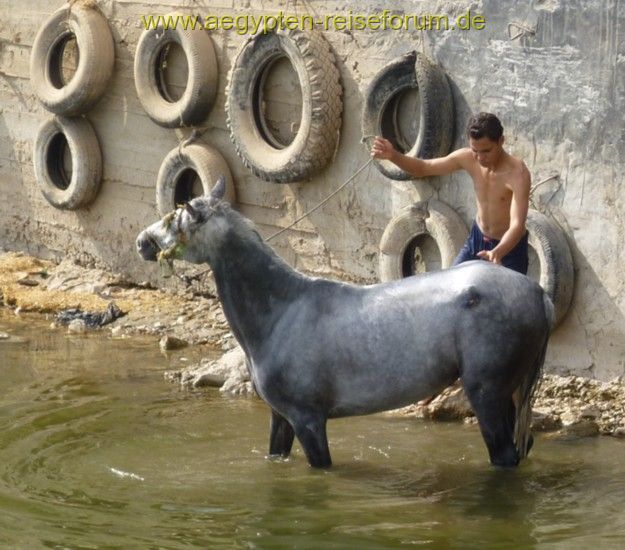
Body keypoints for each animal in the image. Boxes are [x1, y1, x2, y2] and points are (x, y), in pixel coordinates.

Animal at [136, 178, 552, 470]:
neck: (281, 310)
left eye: (176, 218)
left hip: (488, 395)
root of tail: (537, 292)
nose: (143, 242)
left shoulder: (308, 420)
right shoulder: (280, 417)